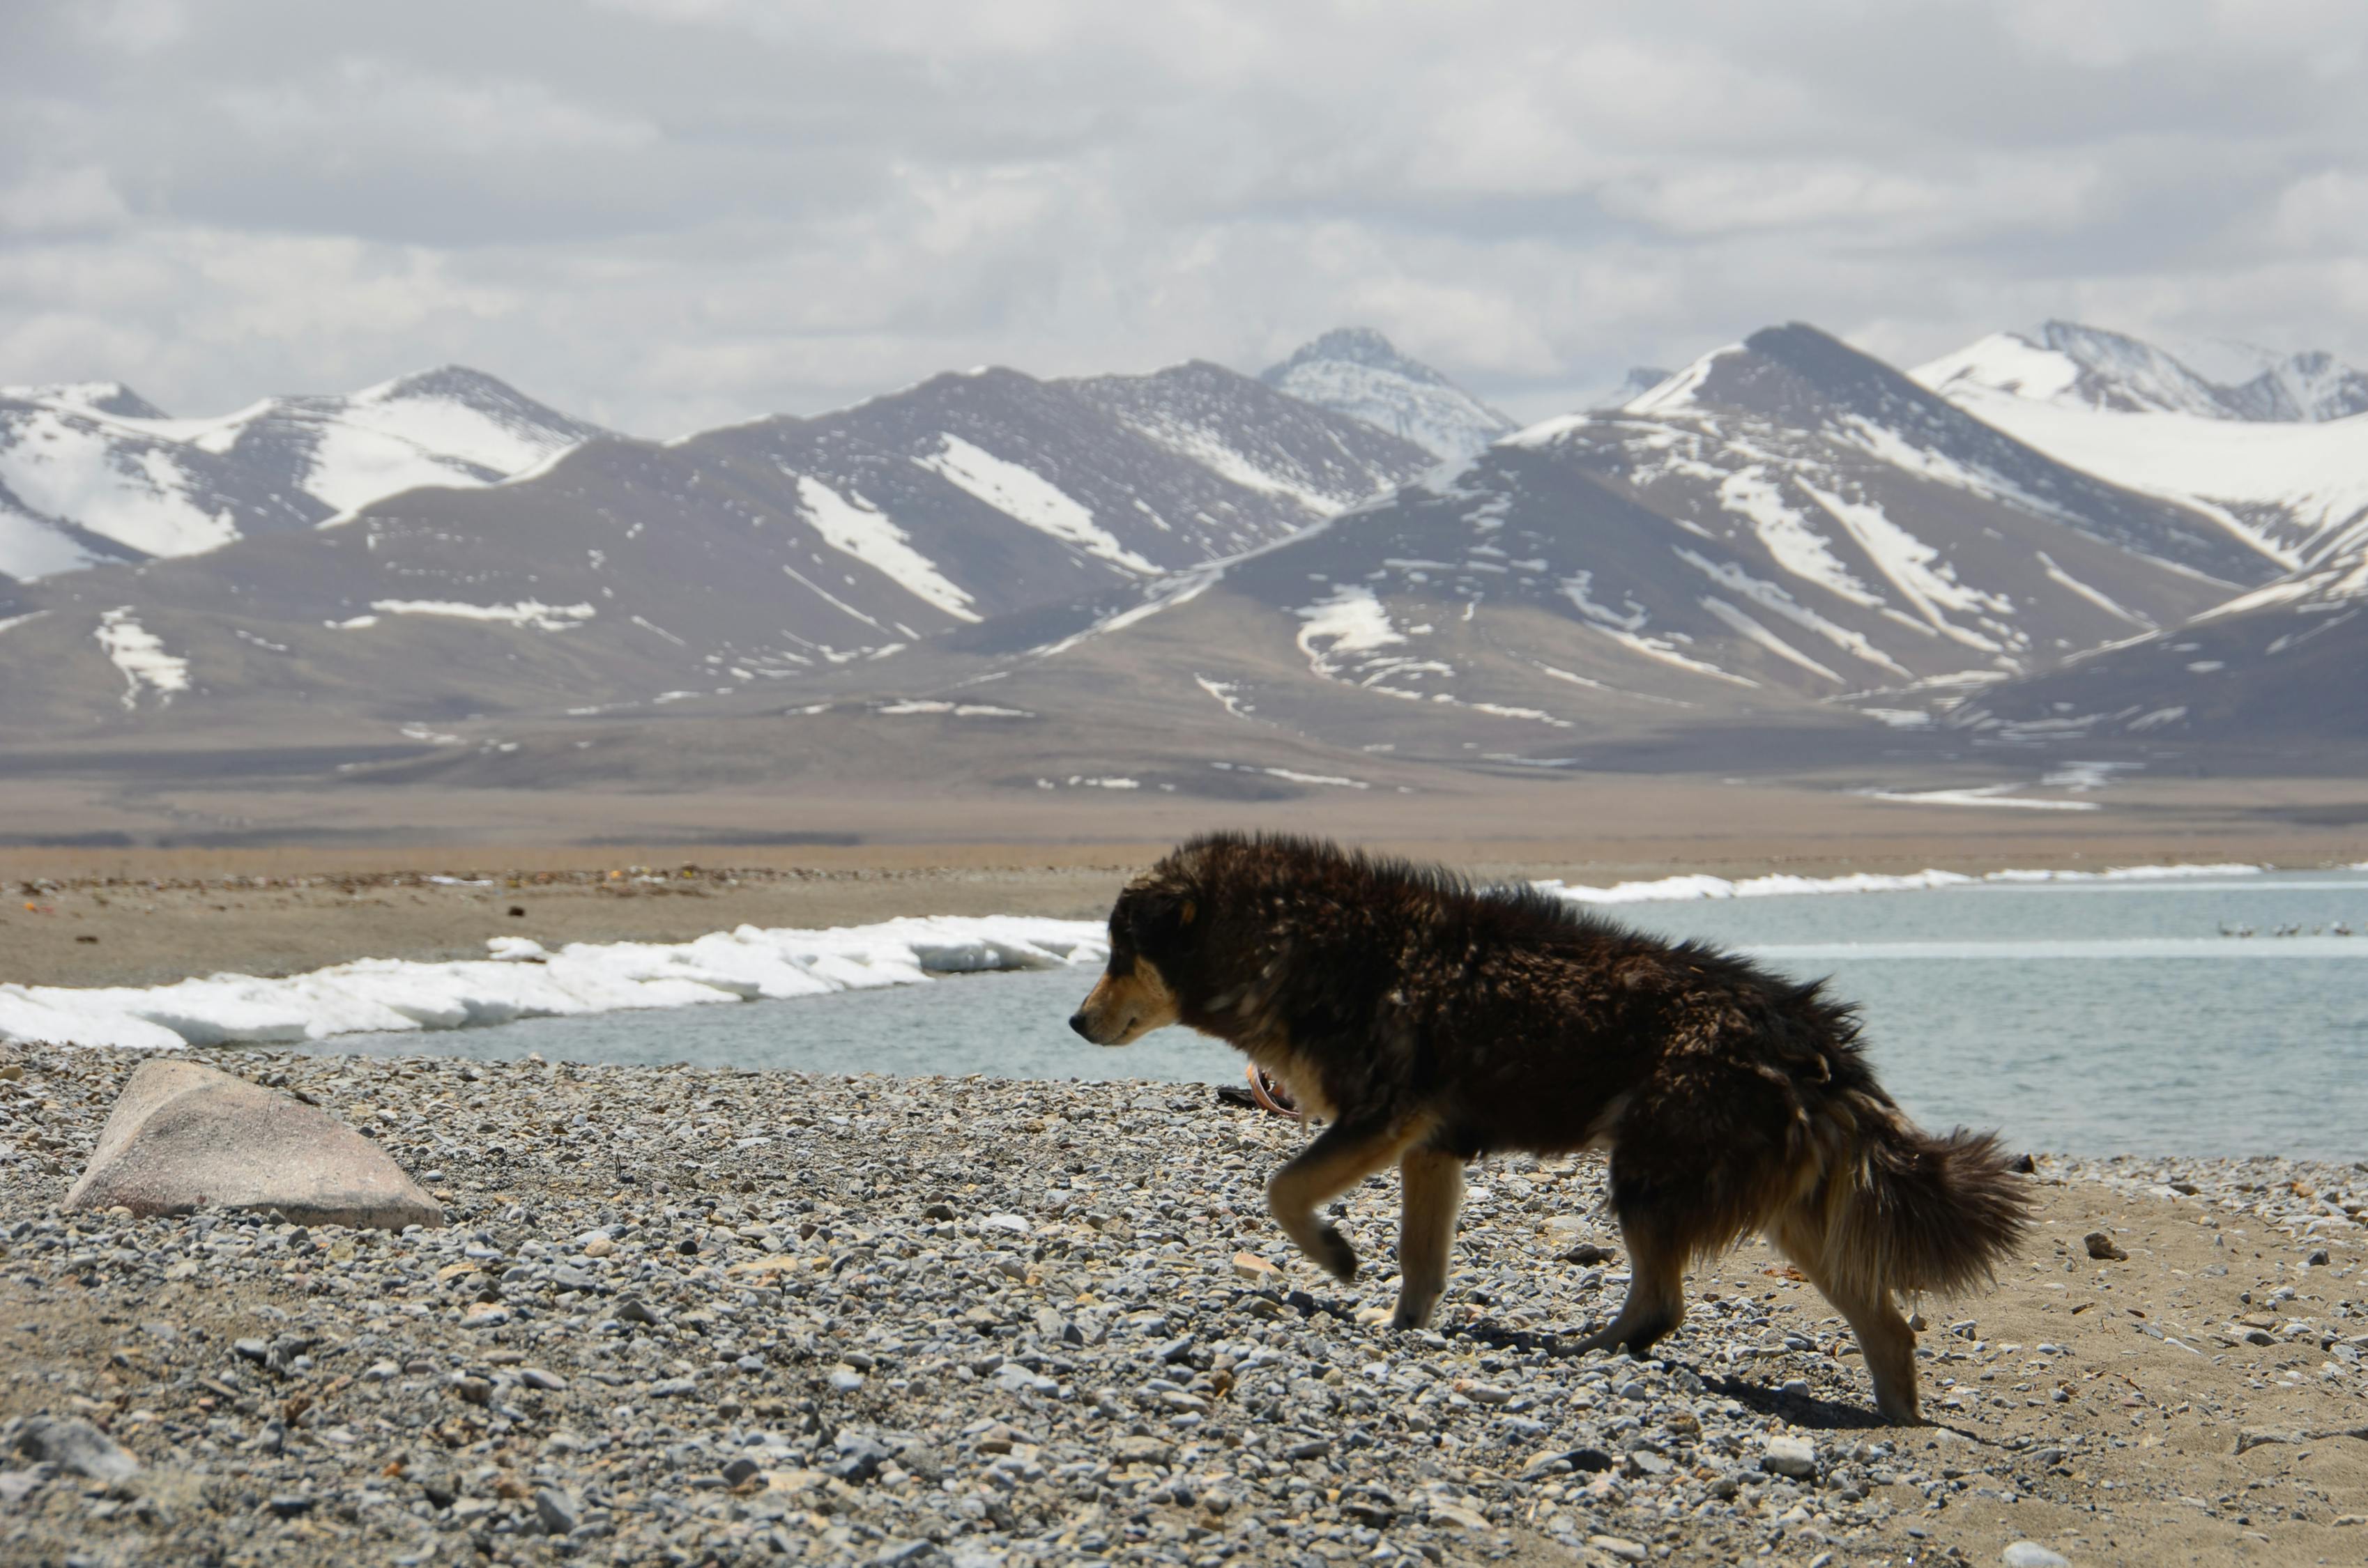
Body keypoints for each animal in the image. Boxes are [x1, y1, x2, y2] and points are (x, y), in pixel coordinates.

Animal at [1080, 833, 2036, 1421]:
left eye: (1121, 952)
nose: (1073, 1022)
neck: (1308, 943)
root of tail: (1810, 1033)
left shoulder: (1382, 1119)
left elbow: (1282, 1188)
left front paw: (1335, 1258)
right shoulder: (1430, 1147)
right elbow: (1420, 1264)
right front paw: (1399, 1327)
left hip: (1649, 1178)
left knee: (1661, 1305)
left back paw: (1583, 1353)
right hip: (1784, 1215)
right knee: (1888, 1327)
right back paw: (1896, 1423)